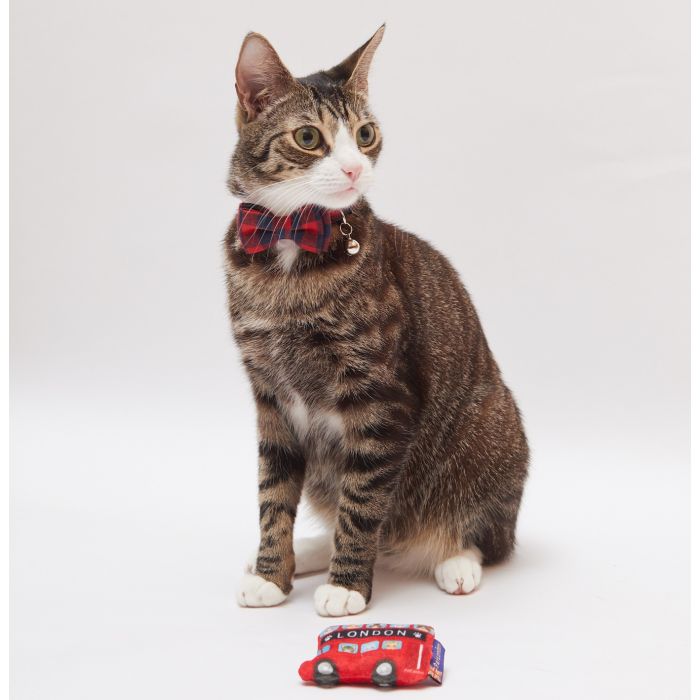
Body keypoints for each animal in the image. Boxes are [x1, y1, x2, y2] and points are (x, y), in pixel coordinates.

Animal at [227, 24, 528, 616]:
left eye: (365, 134)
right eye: (308, 137)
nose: (354, 168)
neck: (290, 250)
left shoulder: (381, 396)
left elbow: (363, 501)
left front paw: (346, 585)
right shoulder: (269, 397)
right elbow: (273, 492)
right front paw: (273, 572)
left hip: (492, 432)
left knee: (487, 536)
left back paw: (454, 559)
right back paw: (309, 551)